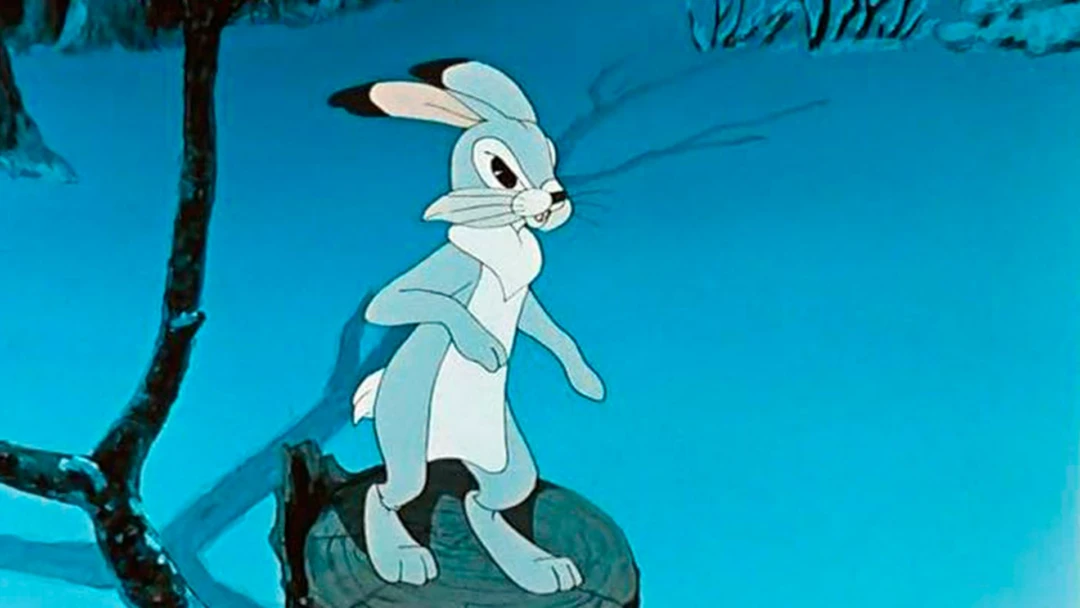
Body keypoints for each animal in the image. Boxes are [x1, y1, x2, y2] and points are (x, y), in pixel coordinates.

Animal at [328, 58, 607, 596]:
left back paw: (538, 568)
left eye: (552, 155)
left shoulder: (528, 300)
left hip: (509, 458)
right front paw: (484, 347)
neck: (503, 231)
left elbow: (553, 331)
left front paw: (588, 382)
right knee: (385, 491)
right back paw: (402, 560)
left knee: (486, 502)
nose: (558, 197)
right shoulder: (448, 270)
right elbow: (391, 304)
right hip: (407, 443)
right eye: (502, 172)